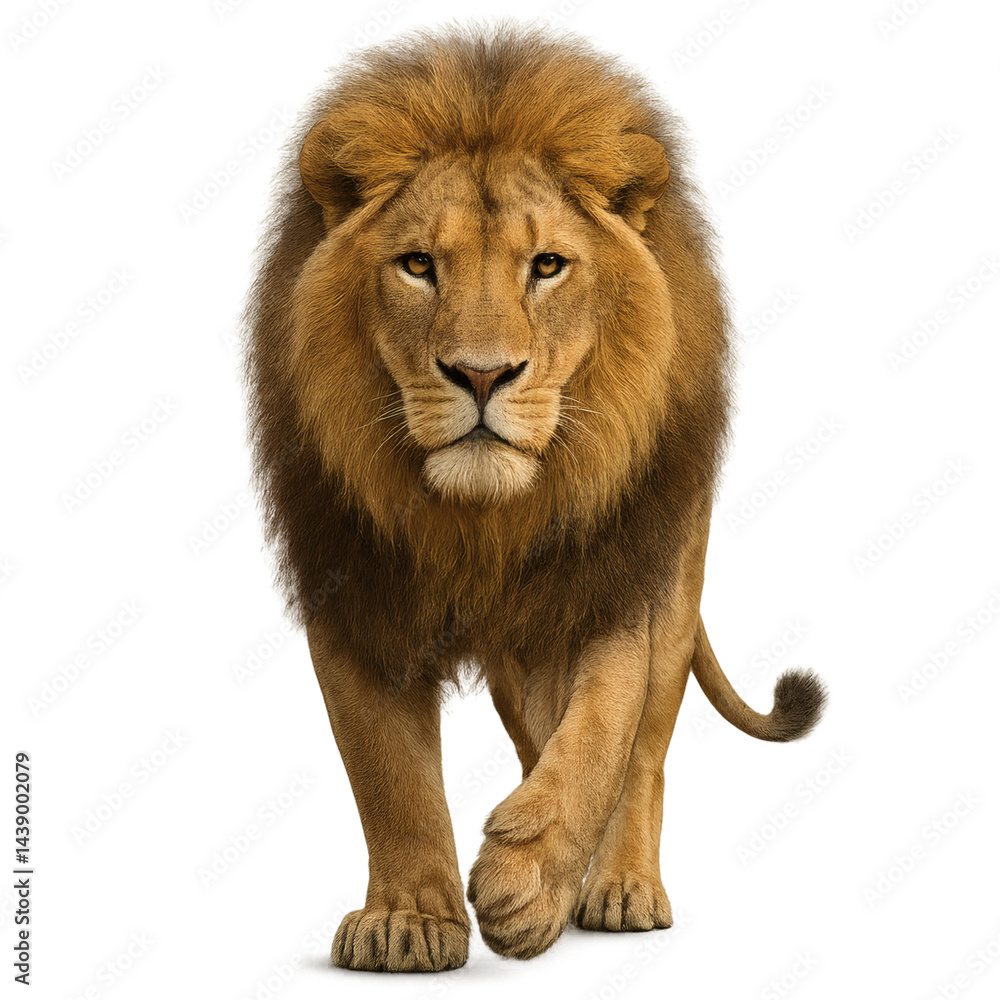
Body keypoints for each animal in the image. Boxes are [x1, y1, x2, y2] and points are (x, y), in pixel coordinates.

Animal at [243, 23, 826, 973]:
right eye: (417, 266)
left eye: (547, 266)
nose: (482, 375)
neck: (485, 522)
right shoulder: (355, 591)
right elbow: (388, 773)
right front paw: (410, 918)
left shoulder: (610, 582)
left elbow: (599, 737)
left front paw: (527, 881)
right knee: (530, 738)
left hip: (674, 574)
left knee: (645, 751)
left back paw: (618, 887)